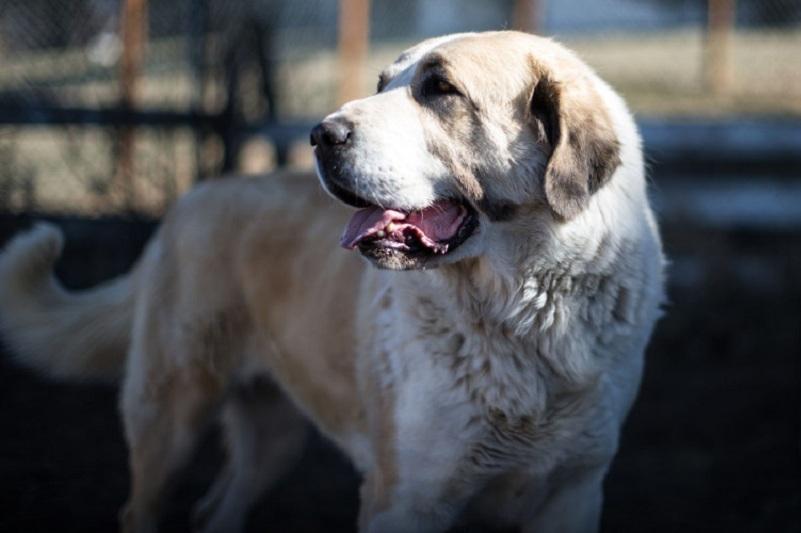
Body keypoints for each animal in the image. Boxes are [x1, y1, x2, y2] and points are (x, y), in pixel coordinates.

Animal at [0, 33, 664, 532]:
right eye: (382, 85)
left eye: (441, 89)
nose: (321, 134)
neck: (521, 312)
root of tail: (188, 201)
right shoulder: (404, 499)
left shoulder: (573, 494)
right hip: (170, 417)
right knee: (142, 508)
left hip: (273, 435)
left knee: (216, 511)